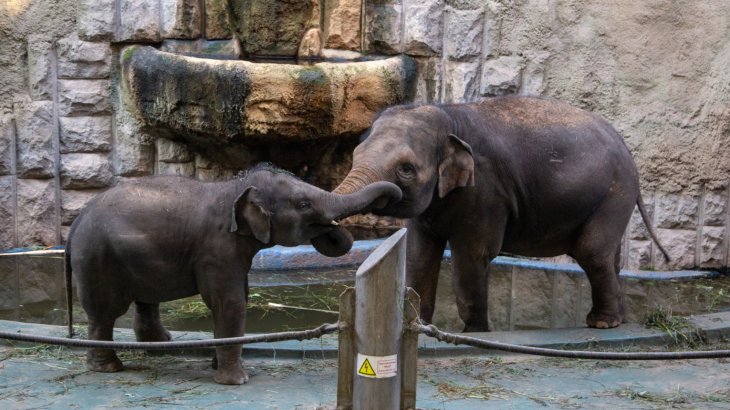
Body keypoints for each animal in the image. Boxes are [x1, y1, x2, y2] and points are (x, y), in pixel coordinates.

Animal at [65, 163, 401, 385]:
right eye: (304, 204)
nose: (395, 198)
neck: (235, 186)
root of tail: (75, 223)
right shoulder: (217, 248)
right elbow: (230, 303)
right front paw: (238, 380)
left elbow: (240, 296)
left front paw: (217, 366)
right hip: (98, 259)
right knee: (104, 313)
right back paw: (108, 368)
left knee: (145, 300)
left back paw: (158, 347)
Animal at [334, 95, 669, 332]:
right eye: (355, 155)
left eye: (406, 169)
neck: (449, 115)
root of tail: (626, 149)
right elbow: (419, 255)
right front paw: (420, 325)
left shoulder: (486, 191)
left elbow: (472, 257)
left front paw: (475, 334)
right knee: (610, 257)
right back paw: (618, 319)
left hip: (614, 192)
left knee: (593, 251)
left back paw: (602, 324)